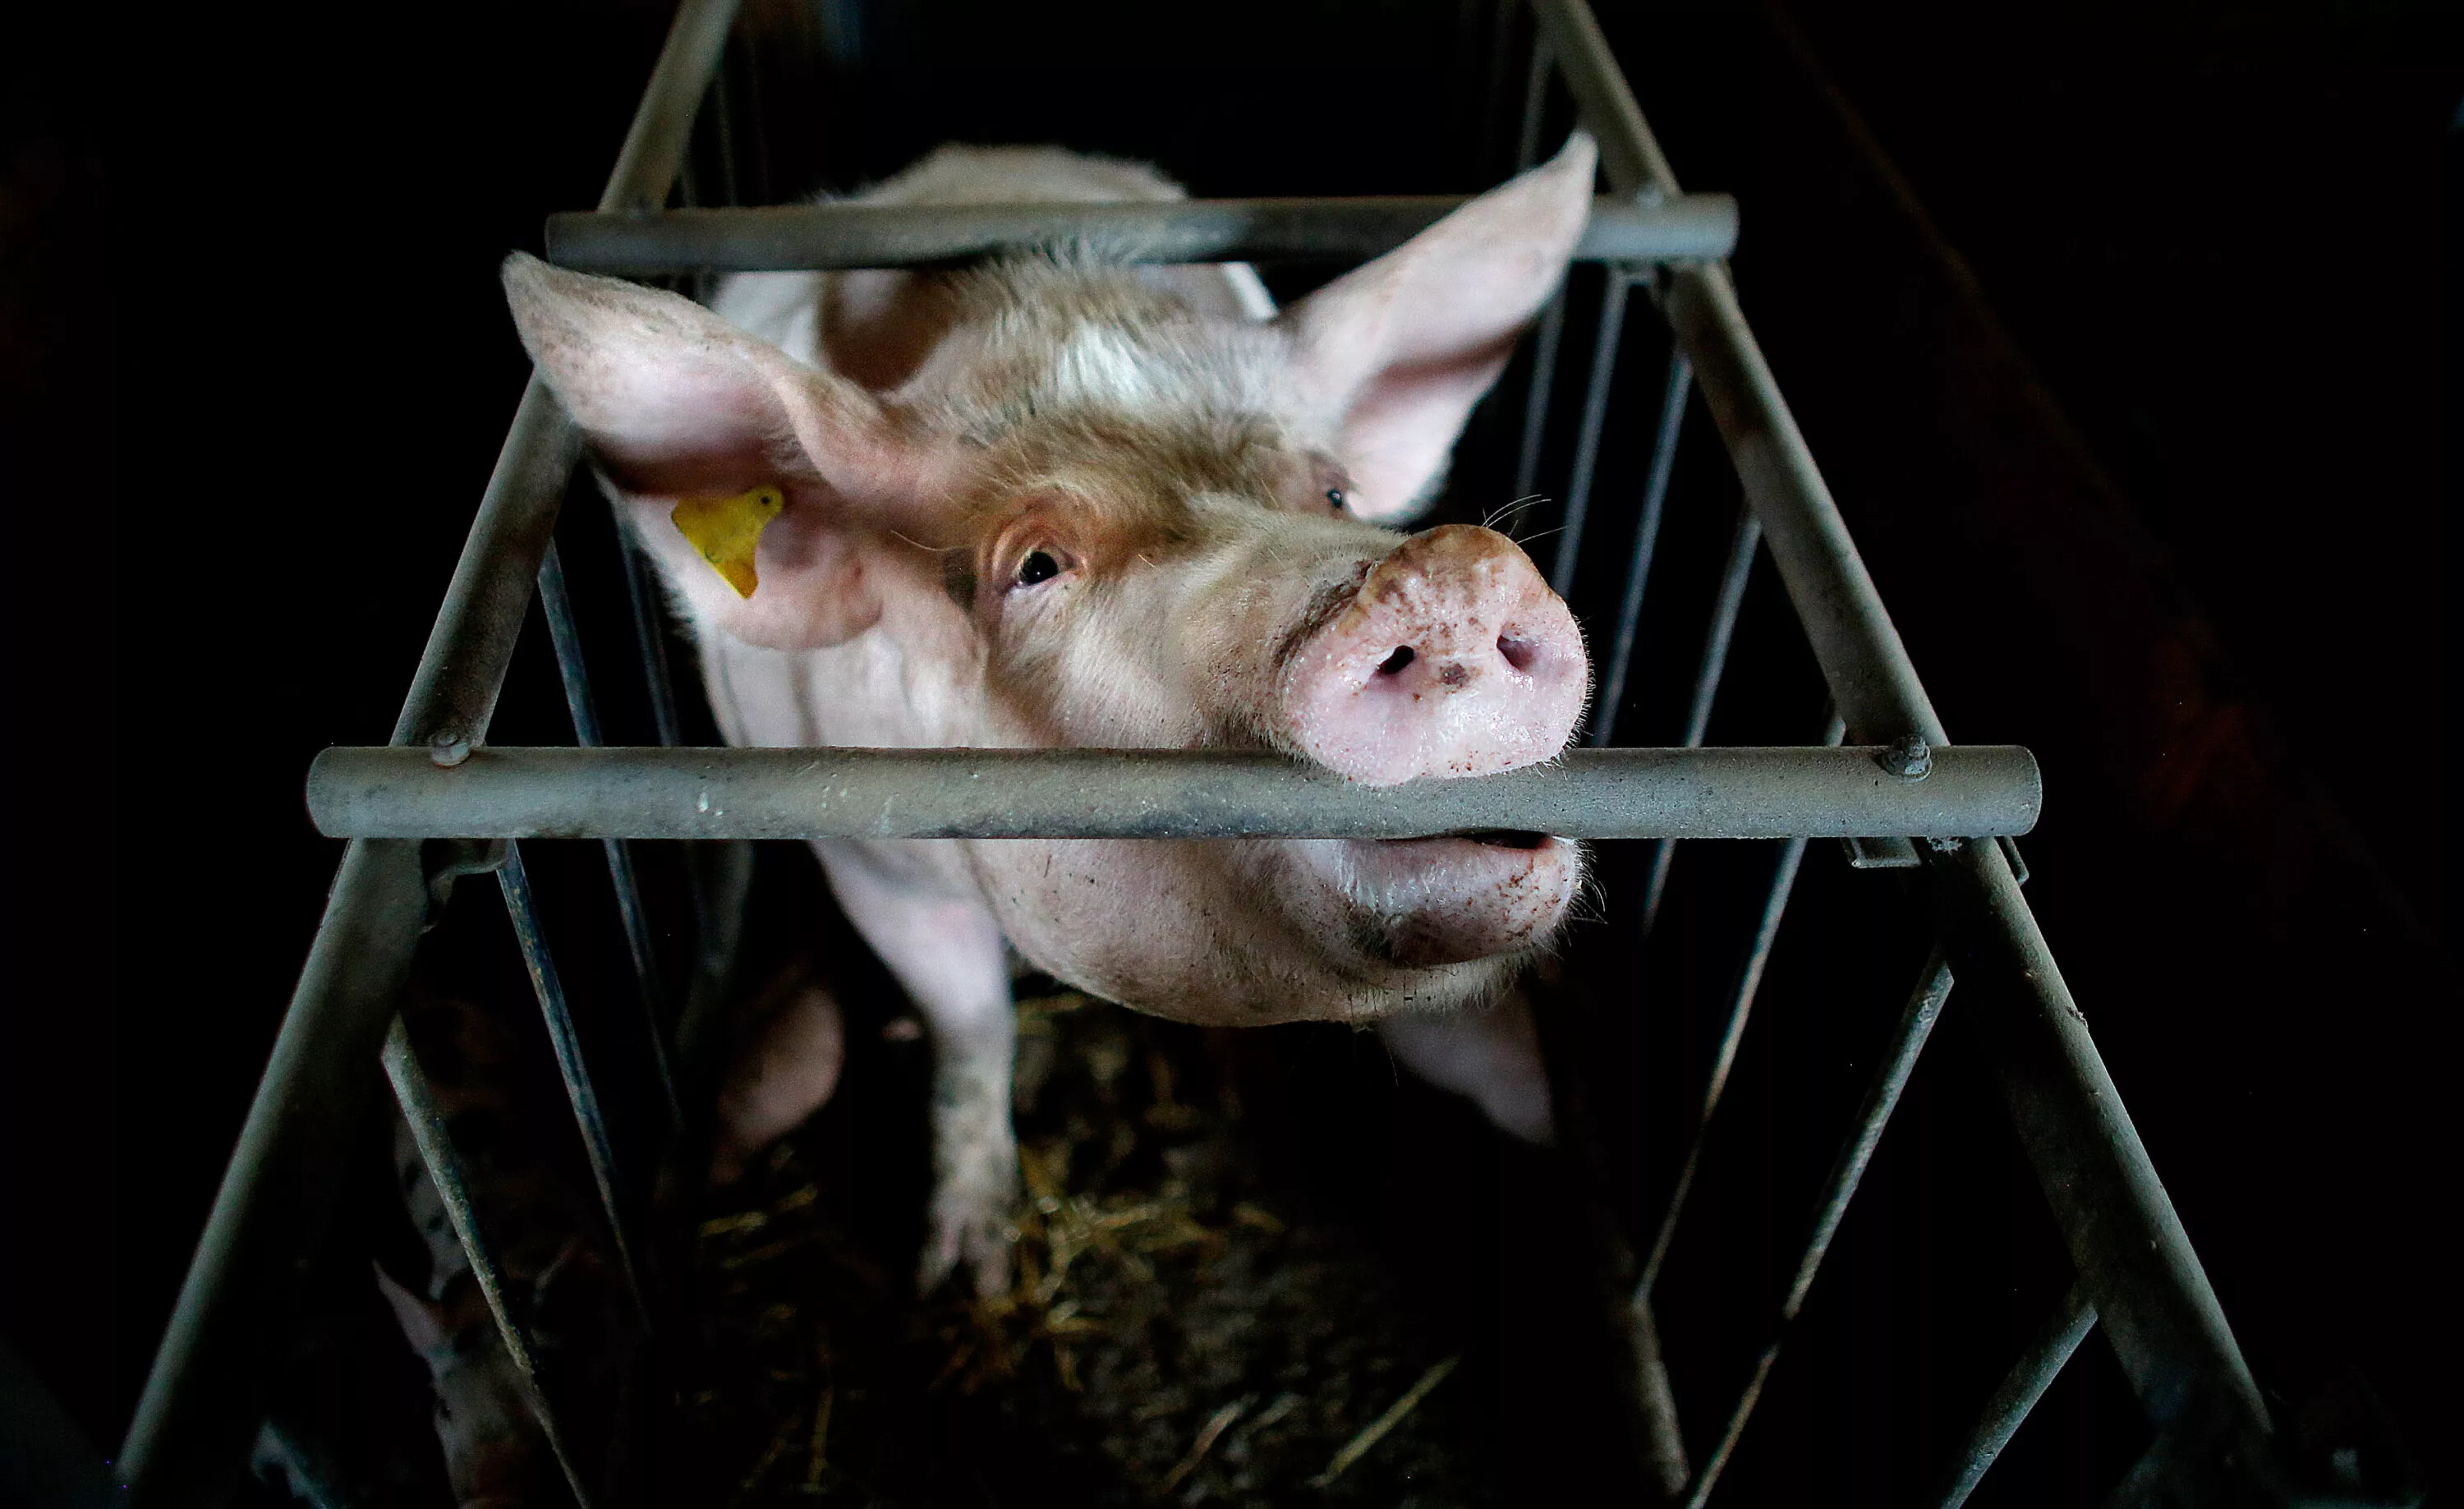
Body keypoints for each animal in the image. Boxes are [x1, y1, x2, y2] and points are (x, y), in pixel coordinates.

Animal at [510, 129, 1607, 1291]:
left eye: (1336, 494)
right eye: (1035, 565)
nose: (1454, 571)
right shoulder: (862, 847)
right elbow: (970, 1021)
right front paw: (964, 1278)